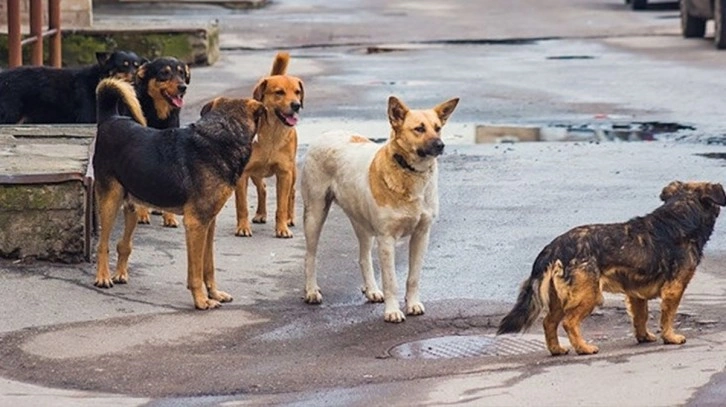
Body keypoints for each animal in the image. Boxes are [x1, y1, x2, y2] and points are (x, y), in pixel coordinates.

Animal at [0, 51, 146, 124]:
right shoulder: (88, 118)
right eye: (123, 65)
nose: (136, 76)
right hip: (10, 116)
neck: (99, 79)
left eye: (137, 66)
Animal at [302, 95, 460, 322]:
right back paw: (311, 291)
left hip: (362, 224)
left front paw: (412, 304)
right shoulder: (386, 239)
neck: (409, 172)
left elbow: (413, 277)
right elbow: (391, 280)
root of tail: (327, 133)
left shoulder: (421, 235)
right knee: (310, 256)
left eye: (437, 128)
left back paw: (371, 290)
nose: (440, 145)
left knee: (363, 257)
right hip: (315, 214)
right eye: (419, 129)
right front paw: (392, 311)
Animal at [500, 182, 726, 356]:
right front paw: (670, 337)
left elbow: (641, 317)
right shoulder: (674, 288)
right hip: (589, 295)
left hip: (559, 299)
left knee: (548, 322)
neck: (680, 215)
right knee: (569, 322)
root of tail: (554, 247)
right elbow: (668, 316)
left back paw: (556, 349)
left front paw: (643, 337)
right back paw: (583, 348)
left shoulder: (636, 294)